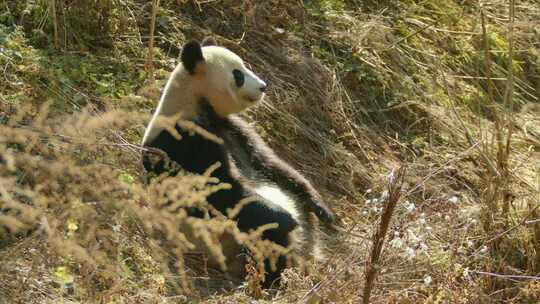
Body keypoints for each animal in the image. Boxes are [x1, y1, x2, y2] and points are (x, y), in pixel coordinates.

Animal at [140, 38, 334, 288]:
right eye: (238, 74)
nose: (263, 87)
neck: (194, 103)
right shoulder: (183, 140)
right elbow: (222, 192)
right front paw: (287, 218)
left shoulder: (235, 128)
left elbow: (272, 165)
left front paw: (322, 208)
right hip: (227, 241)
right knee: (266, 239)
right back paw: (272, 278)